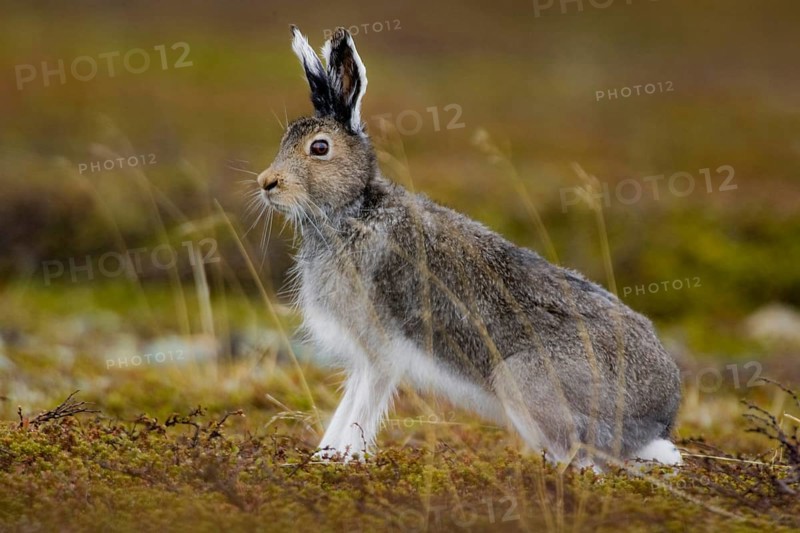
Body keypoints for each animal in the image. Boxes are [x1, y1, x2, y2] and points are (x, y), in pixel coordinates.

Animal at [254, 25, 683, 468]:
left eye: (319, 148)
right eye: (285, 140)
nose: (267, 182)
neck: (353, 211)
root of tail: (659, 417)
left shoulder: (380, 351)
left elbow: (362, 409)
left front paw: (341, 459)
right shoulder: (363, 357)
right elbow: (346, 407)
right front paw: (322, 455)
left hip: (524, 385)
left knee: (581, 462)